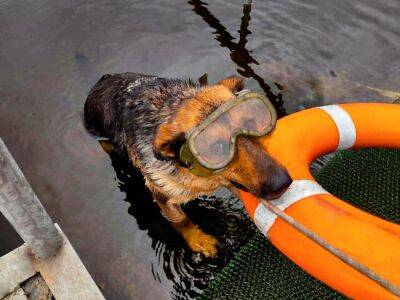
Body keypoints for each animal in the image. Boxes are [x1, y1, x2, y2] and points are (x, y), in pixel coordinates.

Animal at [84, 72, 290, 255]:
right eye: (217, 147)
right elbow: (181, 221)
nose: (283, 183)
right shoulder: (161, 192)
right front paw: (199, 241)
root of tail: (102, 80)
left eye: (251, 122)